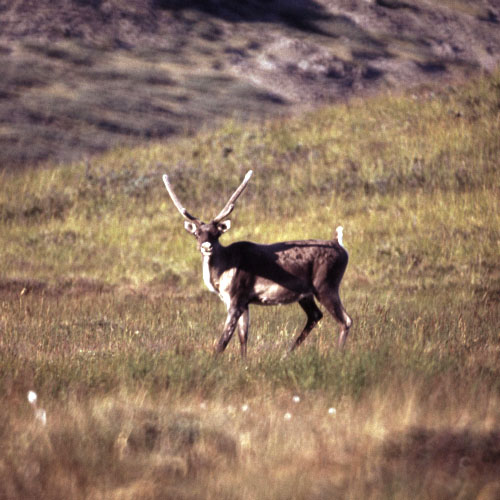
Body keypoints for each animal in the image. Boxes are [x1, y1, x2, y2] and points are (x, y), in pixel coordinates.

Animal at [164, 170, 352, 358]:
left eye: (216, 234)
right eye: (197, 234)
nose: (206, 246)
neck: (222, 272)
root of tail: (339, 244)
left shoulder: (236, 298)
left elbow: (223, 341)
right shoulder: (244, 302)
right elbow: (243, 338)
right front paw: (243, 362)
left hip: (326, 285)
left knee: (346, 320)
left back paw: (336, 355)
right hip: (306, 294)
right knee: (315, 315)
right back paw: (286, 354)